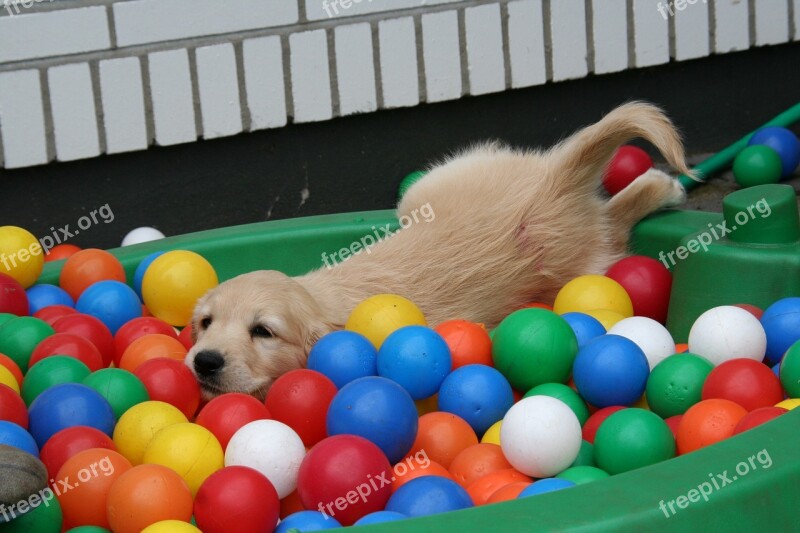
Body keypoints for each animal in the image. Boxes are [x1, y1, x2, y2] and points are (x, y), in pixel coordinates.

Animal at [184, 102, 692, 396]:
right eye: (205, 323)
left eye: (263, 332)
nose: (204, 361)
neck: (325, 299)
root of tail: (553, 180)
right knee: (611, 214)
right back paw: (662, 183)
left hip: (581, 261)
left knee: (615, 224)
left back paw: (662, 186)